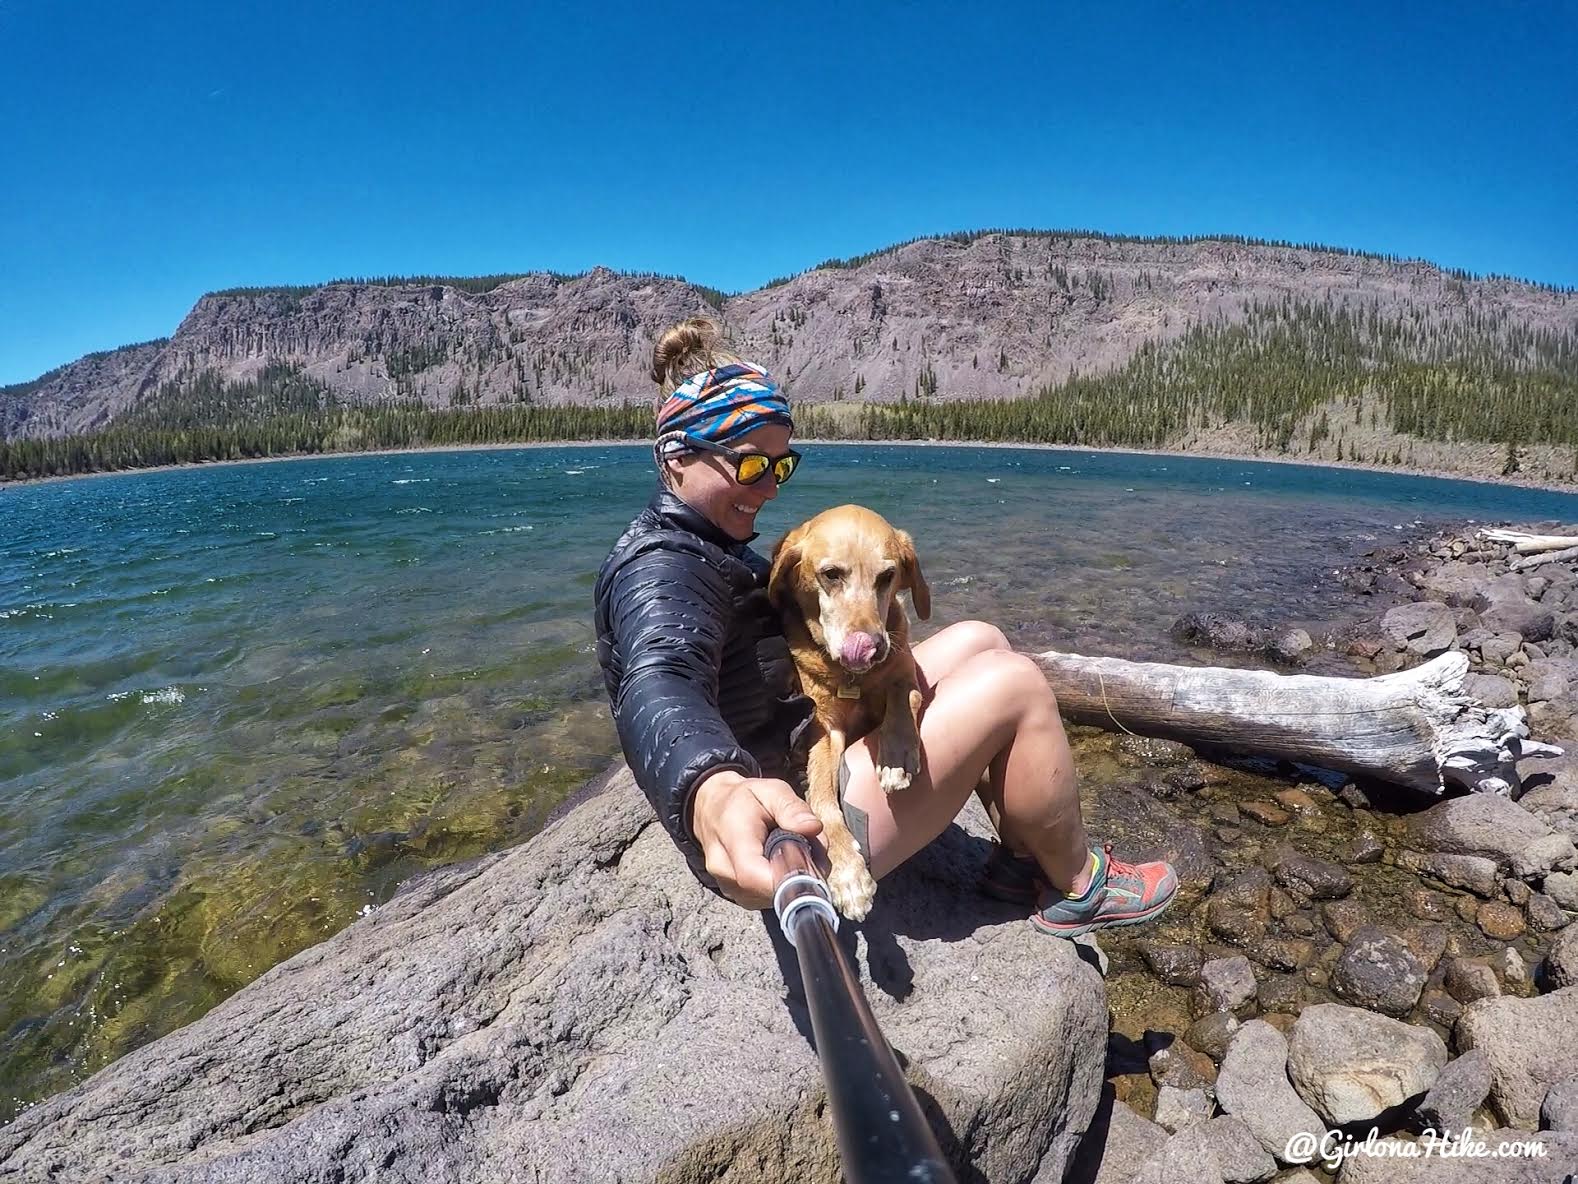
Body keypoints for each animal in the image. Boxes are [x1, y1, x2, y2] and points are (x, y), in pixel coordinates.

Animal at [766, 505, 927, 921]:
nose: (870, 647)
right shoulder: (824, 732)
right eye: (831, 574)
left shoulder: (909, 672)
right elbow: (822, 800)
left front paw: (896, 757)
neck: (855, 678)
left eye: (887, 577)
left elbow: (902, 698)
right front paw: (847, 871)